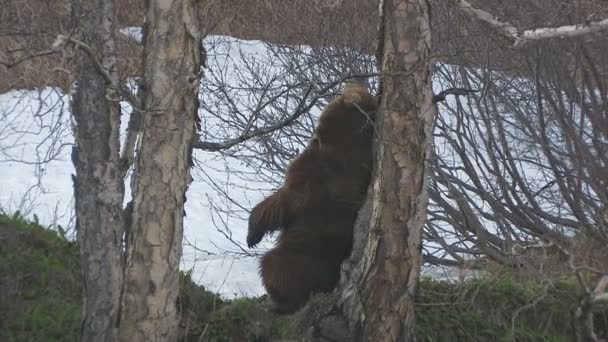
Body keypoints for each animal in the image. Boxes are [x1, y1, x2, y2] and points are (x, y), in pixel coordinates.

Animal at [246, 79, 378, 314]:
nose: (355, 80)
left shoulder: (309, 177)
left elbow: (279, 202)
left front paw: (252, 235)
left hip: (296, 257)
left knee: (272, 266)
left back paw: (276, 302)